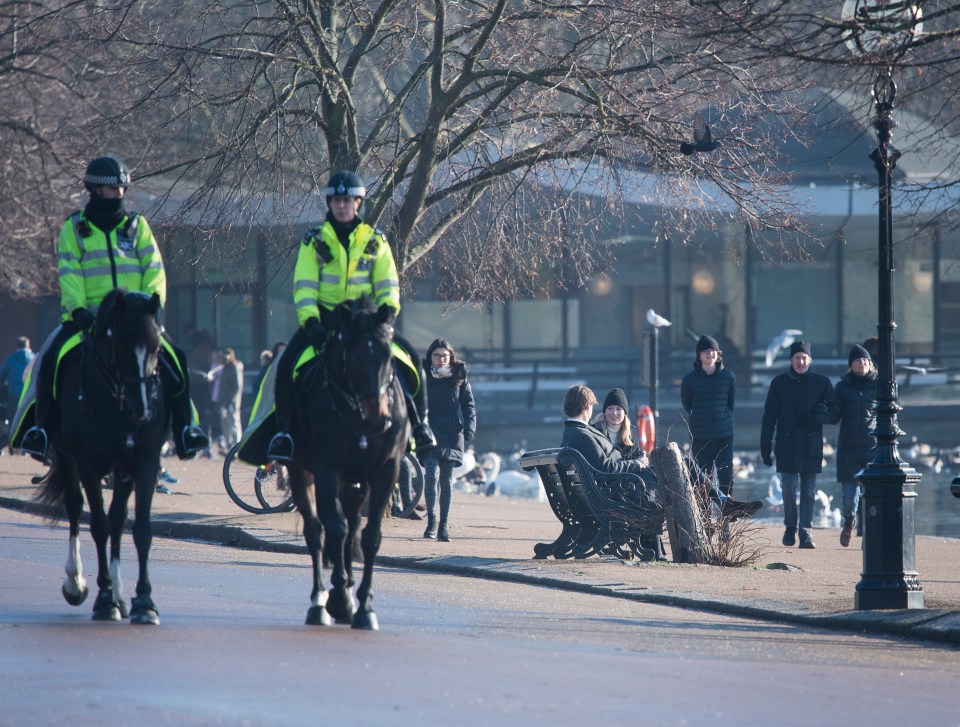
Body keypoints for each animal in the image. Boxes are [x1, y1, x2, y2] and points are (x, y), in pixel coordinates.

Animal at [36, 290, 169, 624]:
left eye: (156, 348)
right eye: (120, 345)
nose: (143, 409)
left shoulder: (144, 463)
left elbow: (140, 528)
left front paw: (144, 602)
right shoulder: (88, 463)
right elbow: (98, 525)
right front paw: (105, 599)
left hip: (123, 470)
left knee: (118, 518)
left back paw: (121, 595)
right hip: (66, 457)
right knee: (75, 508)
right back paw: (77, 583)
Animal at [288, 298, 412, 628]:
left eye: (388, 356)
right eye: (352, 357)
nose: (378, 418)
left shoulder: (386, 471)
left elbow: (369, 537)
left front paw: (365, 606)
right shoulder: (326, 469)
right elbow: (335, 528)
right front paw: (340, 599)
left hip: (355, 481)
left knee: (352, 524)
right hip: (300, 470)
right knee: (316, 531)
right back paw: (320, 600)